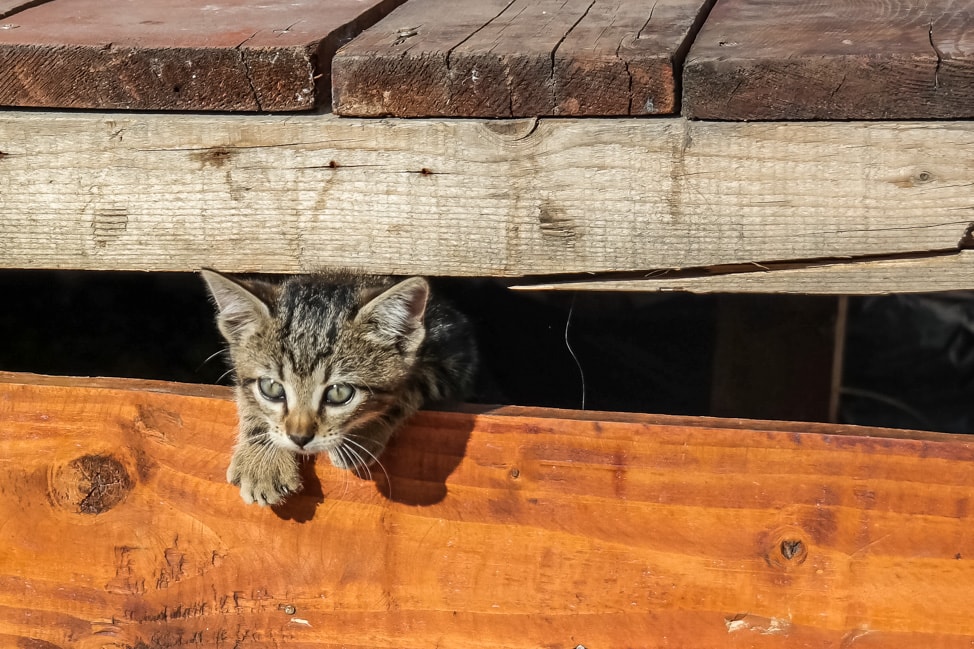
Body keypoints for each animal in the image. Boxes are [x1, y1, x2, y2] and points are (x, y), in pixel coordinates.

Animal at [200, 268, 478, 506]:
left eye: (339, 393)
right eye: (272, 388)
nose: (299, 438)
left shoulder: (456, 359)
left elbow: (412, 384)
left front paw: (361, 436)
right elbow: (247, 396)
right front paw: (261, 461)